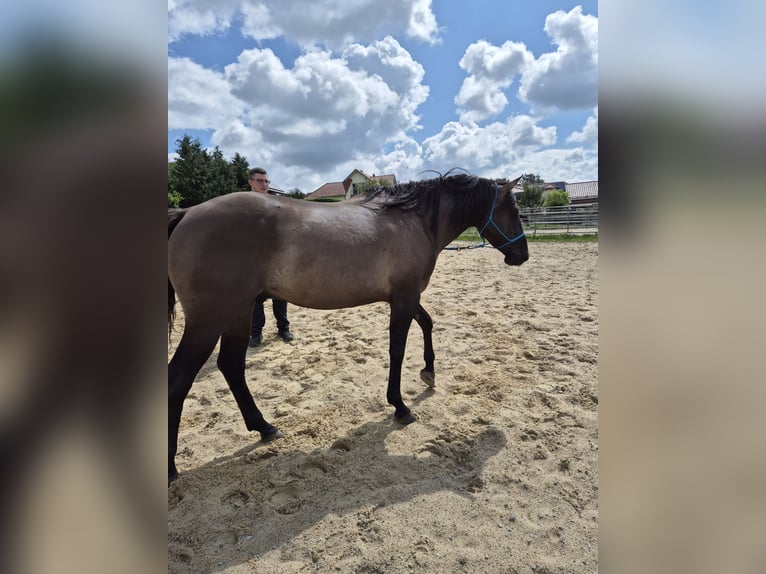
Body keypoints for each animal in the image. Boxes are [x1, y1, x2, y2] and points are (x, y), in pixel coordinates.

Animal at [167, 172, 528, 483]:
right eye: (514, 209)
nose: (522, 255)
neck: (413, 220)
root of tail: (187, 213)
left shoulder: (405, 297)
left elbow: (427, 323)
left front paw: (429, 372)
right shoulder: (404, 298)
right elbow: (397, 350)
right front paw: (400, 407)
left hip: (238, 312)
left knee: (231, 366)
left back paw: (265, 428)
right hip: (208, 320)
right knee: (179, 379)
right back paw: (171, 470)